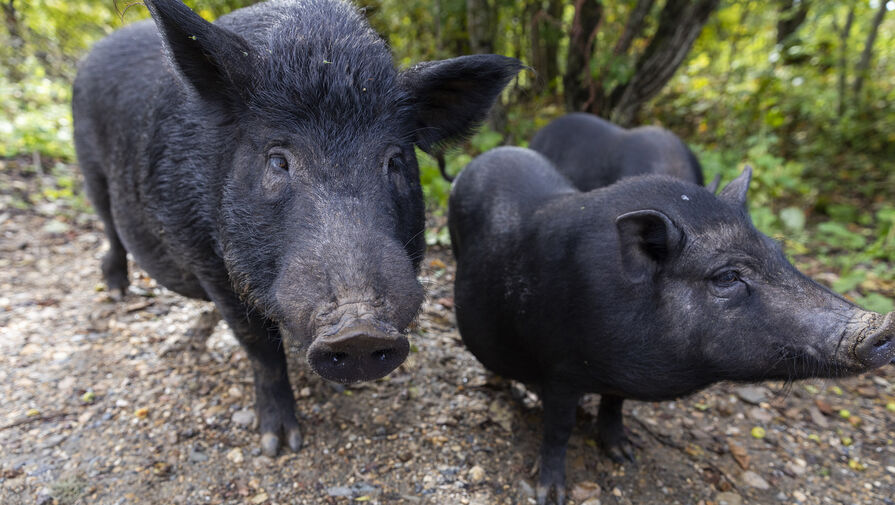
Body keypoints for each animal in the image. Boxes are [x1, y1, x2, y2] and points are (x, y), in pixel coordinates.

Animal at [72, 0, 524, 456]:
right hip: (89, 169)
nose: (359, 328)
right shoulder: (209, 262)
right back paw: (117, 291)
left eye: (394, 160)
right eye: (278, 160)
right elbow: (259, 347)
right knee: (109, 227)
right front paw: (279, 444)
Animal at [448, 145, 895, 500]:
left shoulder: (616, 379)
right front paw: (551, 495)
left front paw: (625, 454)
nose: (884, 325)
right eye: (727, 276)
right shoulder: (559, 370)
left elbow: (614, 405)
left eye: (778, 252)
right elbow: (558, 430)